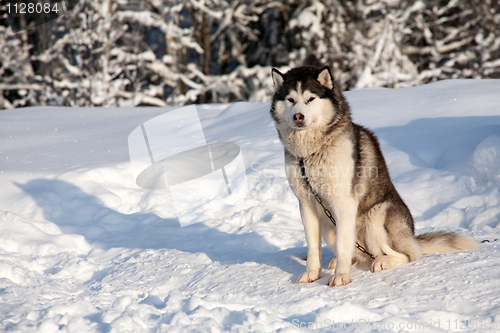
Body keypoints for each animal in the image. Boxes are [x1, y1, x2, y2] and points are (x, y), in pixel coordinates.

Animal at [272, 66, 478, 286]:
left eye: (310, 99)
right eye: (290, 100)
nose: (298, 116)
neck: (309, 154)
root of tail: (412, 237)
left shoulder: (343, 203)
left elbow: (344, 246)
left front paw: (341, 276)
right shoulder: (307, 203)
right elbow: (313, 247)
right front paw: (312, 273)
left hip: (376, 217)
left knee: (408, 255)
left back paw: (382, 261)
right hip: (330, 228)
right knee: (358, 254)